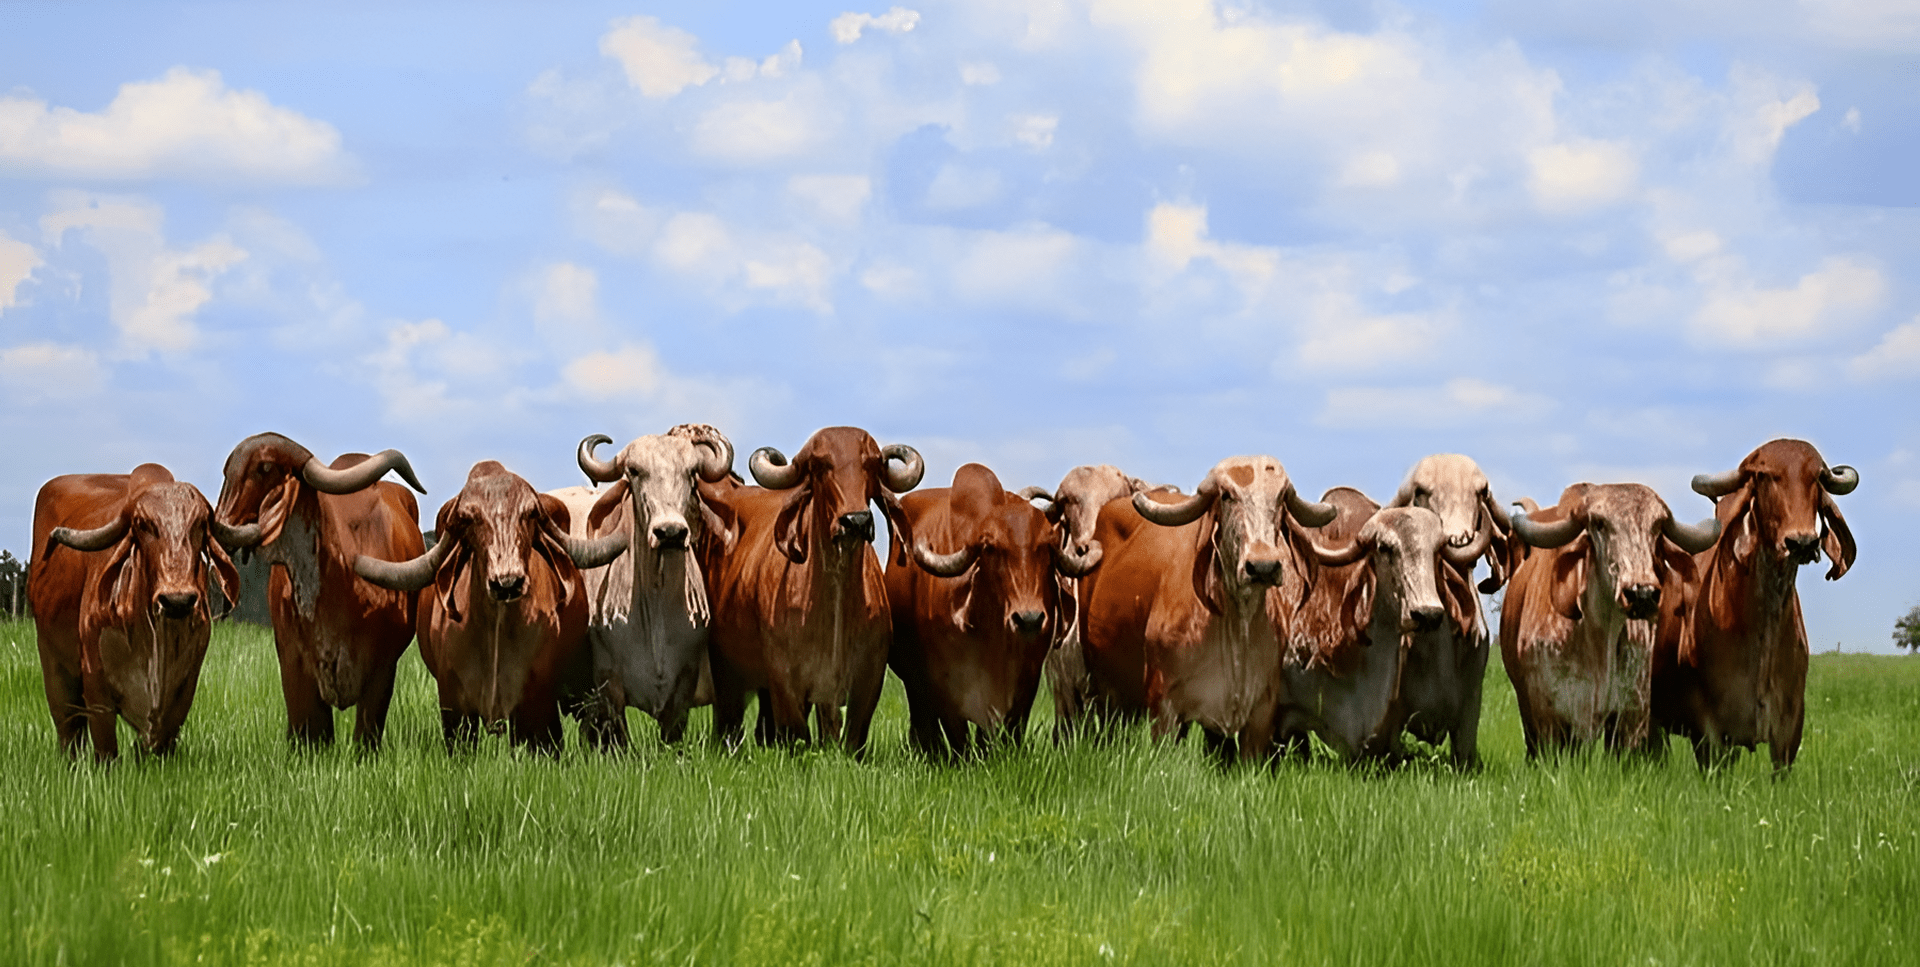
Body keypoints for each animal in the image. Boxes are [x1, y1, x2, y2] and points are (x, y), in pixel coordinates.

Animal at [28, 465, 240, 761]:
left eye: (200, 524)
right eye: (143, 524)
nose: (177, 600)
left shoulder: (182, 693)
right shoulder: (96, 688)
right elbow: (105, 748)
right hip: (54, 667)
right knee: (69, 729)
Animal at [702, 427, 924, 755]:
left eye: (871, 464)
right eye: (820, 465)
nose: (856, 521)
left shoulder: (866, 680)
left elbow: (849, 735)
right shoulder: (783, 679)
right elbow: (795, 732)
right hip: (727, 674)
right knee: (730, 723)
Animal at [886, 463, 1095, 759]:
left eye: (1048, 547)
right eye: (990, 548)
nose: (1029, 620)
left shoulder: (1027, 679)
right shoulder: (942, 682)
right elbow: (957, 734)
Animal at [1078, 456, 1336, 764]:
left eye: (1280, 498)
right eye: (1226, 496)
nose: (1262, 566)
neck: (1237, 625)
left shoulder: (1261, 714)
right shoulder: (1163, 706)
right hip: (1103, 687)